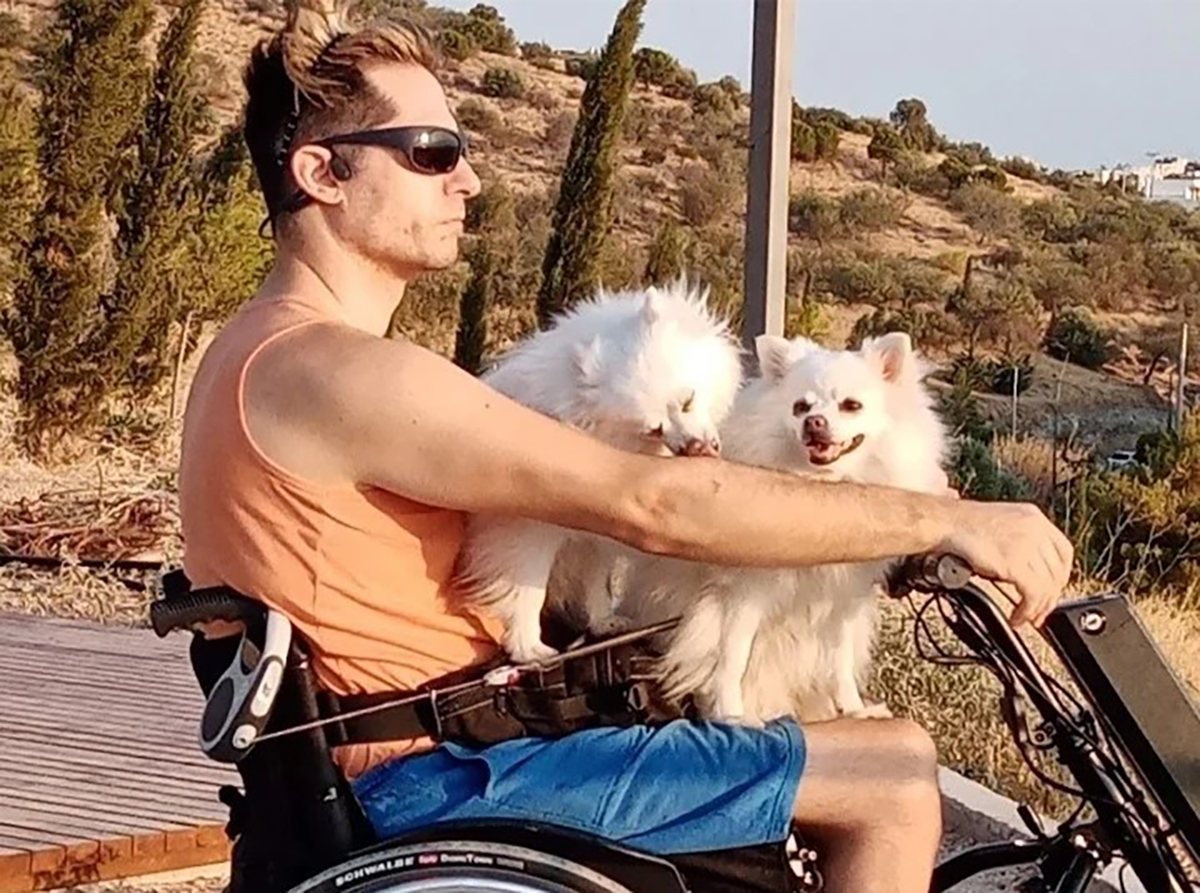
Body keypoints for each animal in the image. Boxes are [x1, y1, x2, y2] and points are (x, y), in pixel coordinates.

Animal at [451, 277, 744, 663]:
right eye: (654, 429)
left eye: (687, 401)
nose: (696, 447)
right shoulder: (526, 531)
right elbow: (527, 589)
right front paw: (528, 647)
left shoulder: (599, 534)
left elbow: (596, 580)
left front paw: (603, 622)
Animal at [597, 331, 950, 724]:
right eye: (800, 407)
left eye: (851, 405)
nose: (814, 422)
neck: (823, 486)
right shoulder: (743, 596)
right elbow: (732, 659)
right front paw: (731, 715)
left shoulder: (843, 599)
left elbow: (840, 660)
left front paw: (854, 708)